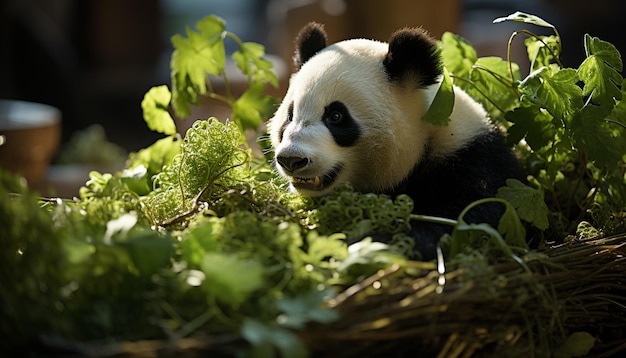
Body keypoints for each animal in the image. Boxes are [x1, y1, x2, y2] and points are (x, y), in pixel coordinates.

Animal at [266, 23, 520, 260]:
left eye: (336, 116)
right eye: (290, 115)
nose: (292, 159)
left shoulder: (473, 162)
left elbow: (467, 219)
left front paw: (374, 241)